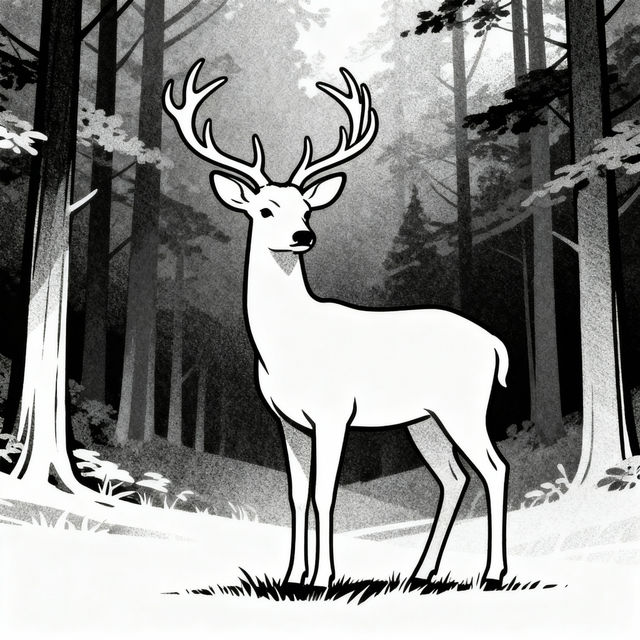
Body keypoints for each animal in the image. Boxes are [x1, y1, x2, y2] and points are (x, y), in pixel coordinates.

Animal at [163, 59, 509, 590]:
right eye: (265, 209)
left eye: (306, 208)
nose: (302, 235)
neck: (286, 348)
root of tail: (494, 342)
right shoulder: (287, 420)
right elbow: (295, 496)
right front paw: (291, 575)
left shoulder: (333, 412)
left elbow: (324, 494)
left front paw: (323, 577)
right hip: (424, 419)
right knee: (454, 477)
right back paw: (421, 571)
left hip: (464, 405)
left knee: (494, 468)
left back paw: (492, 571)